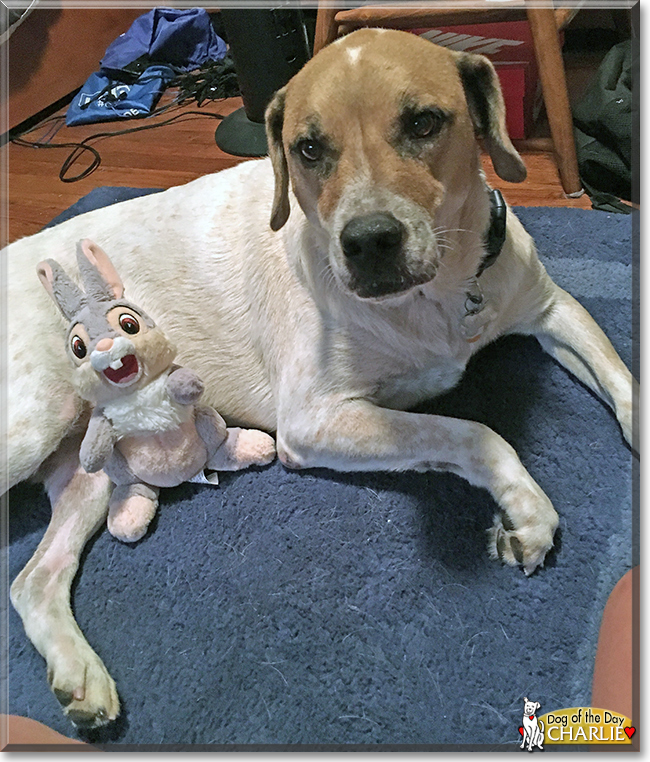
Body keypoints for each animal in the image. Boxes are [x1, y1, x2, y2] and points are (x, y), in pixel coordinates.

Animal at [3, 29, 632, 728]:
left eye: (424, 123)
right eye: (308, 149)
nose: (369, 241)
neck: (437, 296)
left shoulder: (550, 308)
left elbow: (623, 381)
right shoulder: (313, 419)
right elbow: (473, 432)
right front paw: (526, 512)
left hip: (88, 457)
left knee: (31, 580)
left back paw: (79, 678)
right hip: (27, 427)